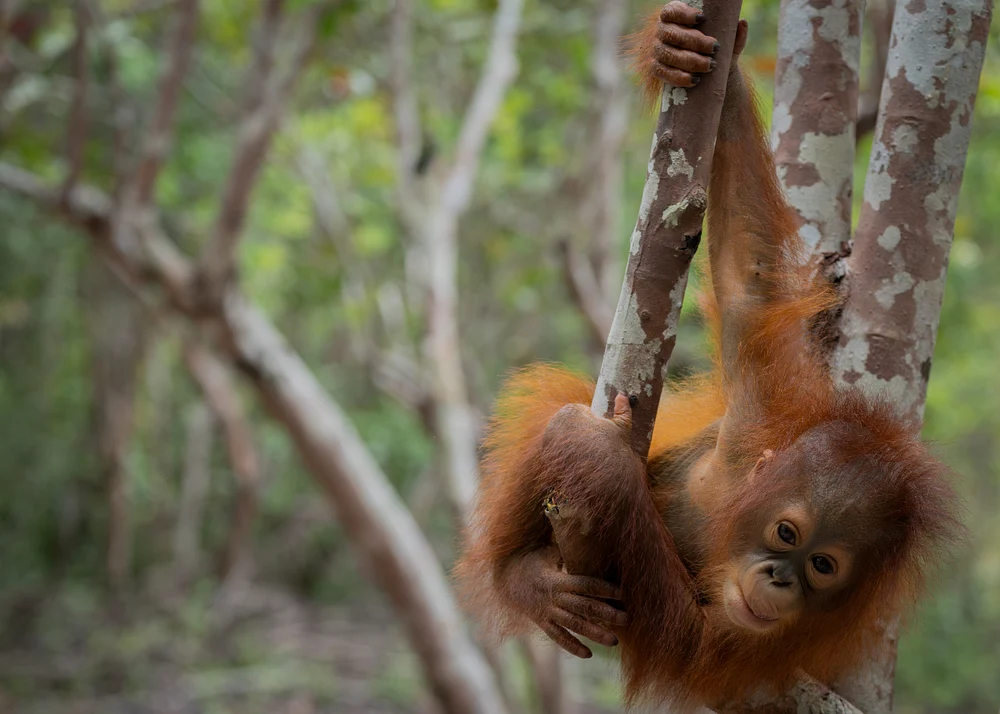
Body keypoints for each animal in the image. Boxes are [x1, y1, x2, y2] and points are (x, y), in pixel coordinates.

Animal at [455, 2, 962, 709]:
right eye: (786, 534)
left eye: (823, 565)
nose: (780, 578)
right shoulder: (761, 408)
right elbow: (746, 273)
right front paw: (681, 45)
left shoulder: (769, 644)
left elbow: (690, 645)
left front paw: (606, 470)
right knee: (552, 417)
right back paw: (520, 576)